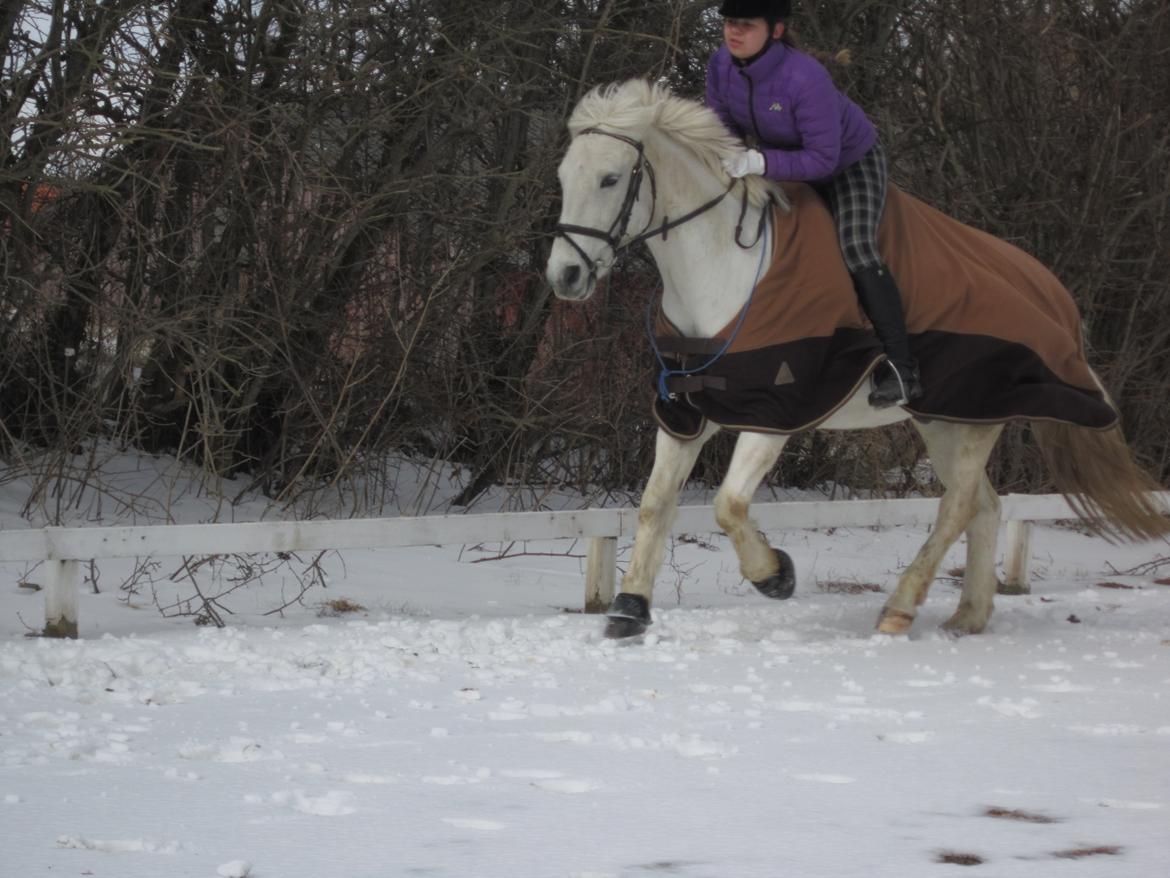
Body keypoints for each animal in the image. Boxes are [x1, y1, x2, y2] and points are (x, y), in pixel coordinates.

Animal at [542, 79, 1165, 641]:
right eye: (564, 177)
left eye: (610, 178)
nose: (565, 276)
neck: (723, 270)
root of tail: (1054, 294)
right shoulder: (685, 414)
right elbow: (654, 506)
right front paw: (629, 609)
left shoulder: (775, 414)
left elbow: (728, 505)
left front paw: (775, 576)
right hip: (946, 419)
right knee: (983, 506)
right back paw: (967, 616)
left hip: (973, 418)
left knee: (957, 507)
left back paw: (900, 609)